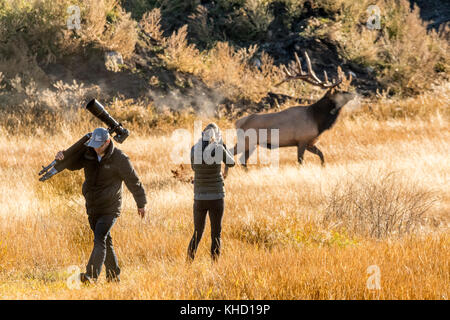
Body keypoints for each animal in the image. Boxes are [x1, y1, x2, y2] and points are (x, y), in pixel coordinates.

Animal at [225, 51, 356, 176]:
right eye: (339, 91)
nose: (353, 94)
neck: (318, 121)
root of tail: (237, 123)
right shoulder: (302, 140)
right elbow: (300, 161)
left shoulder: (310, 142)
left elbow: (321, 155)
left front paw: (323, 168)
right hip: (247, 140)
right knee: (235, 155)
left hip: (250, 143)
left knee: (241, 160)